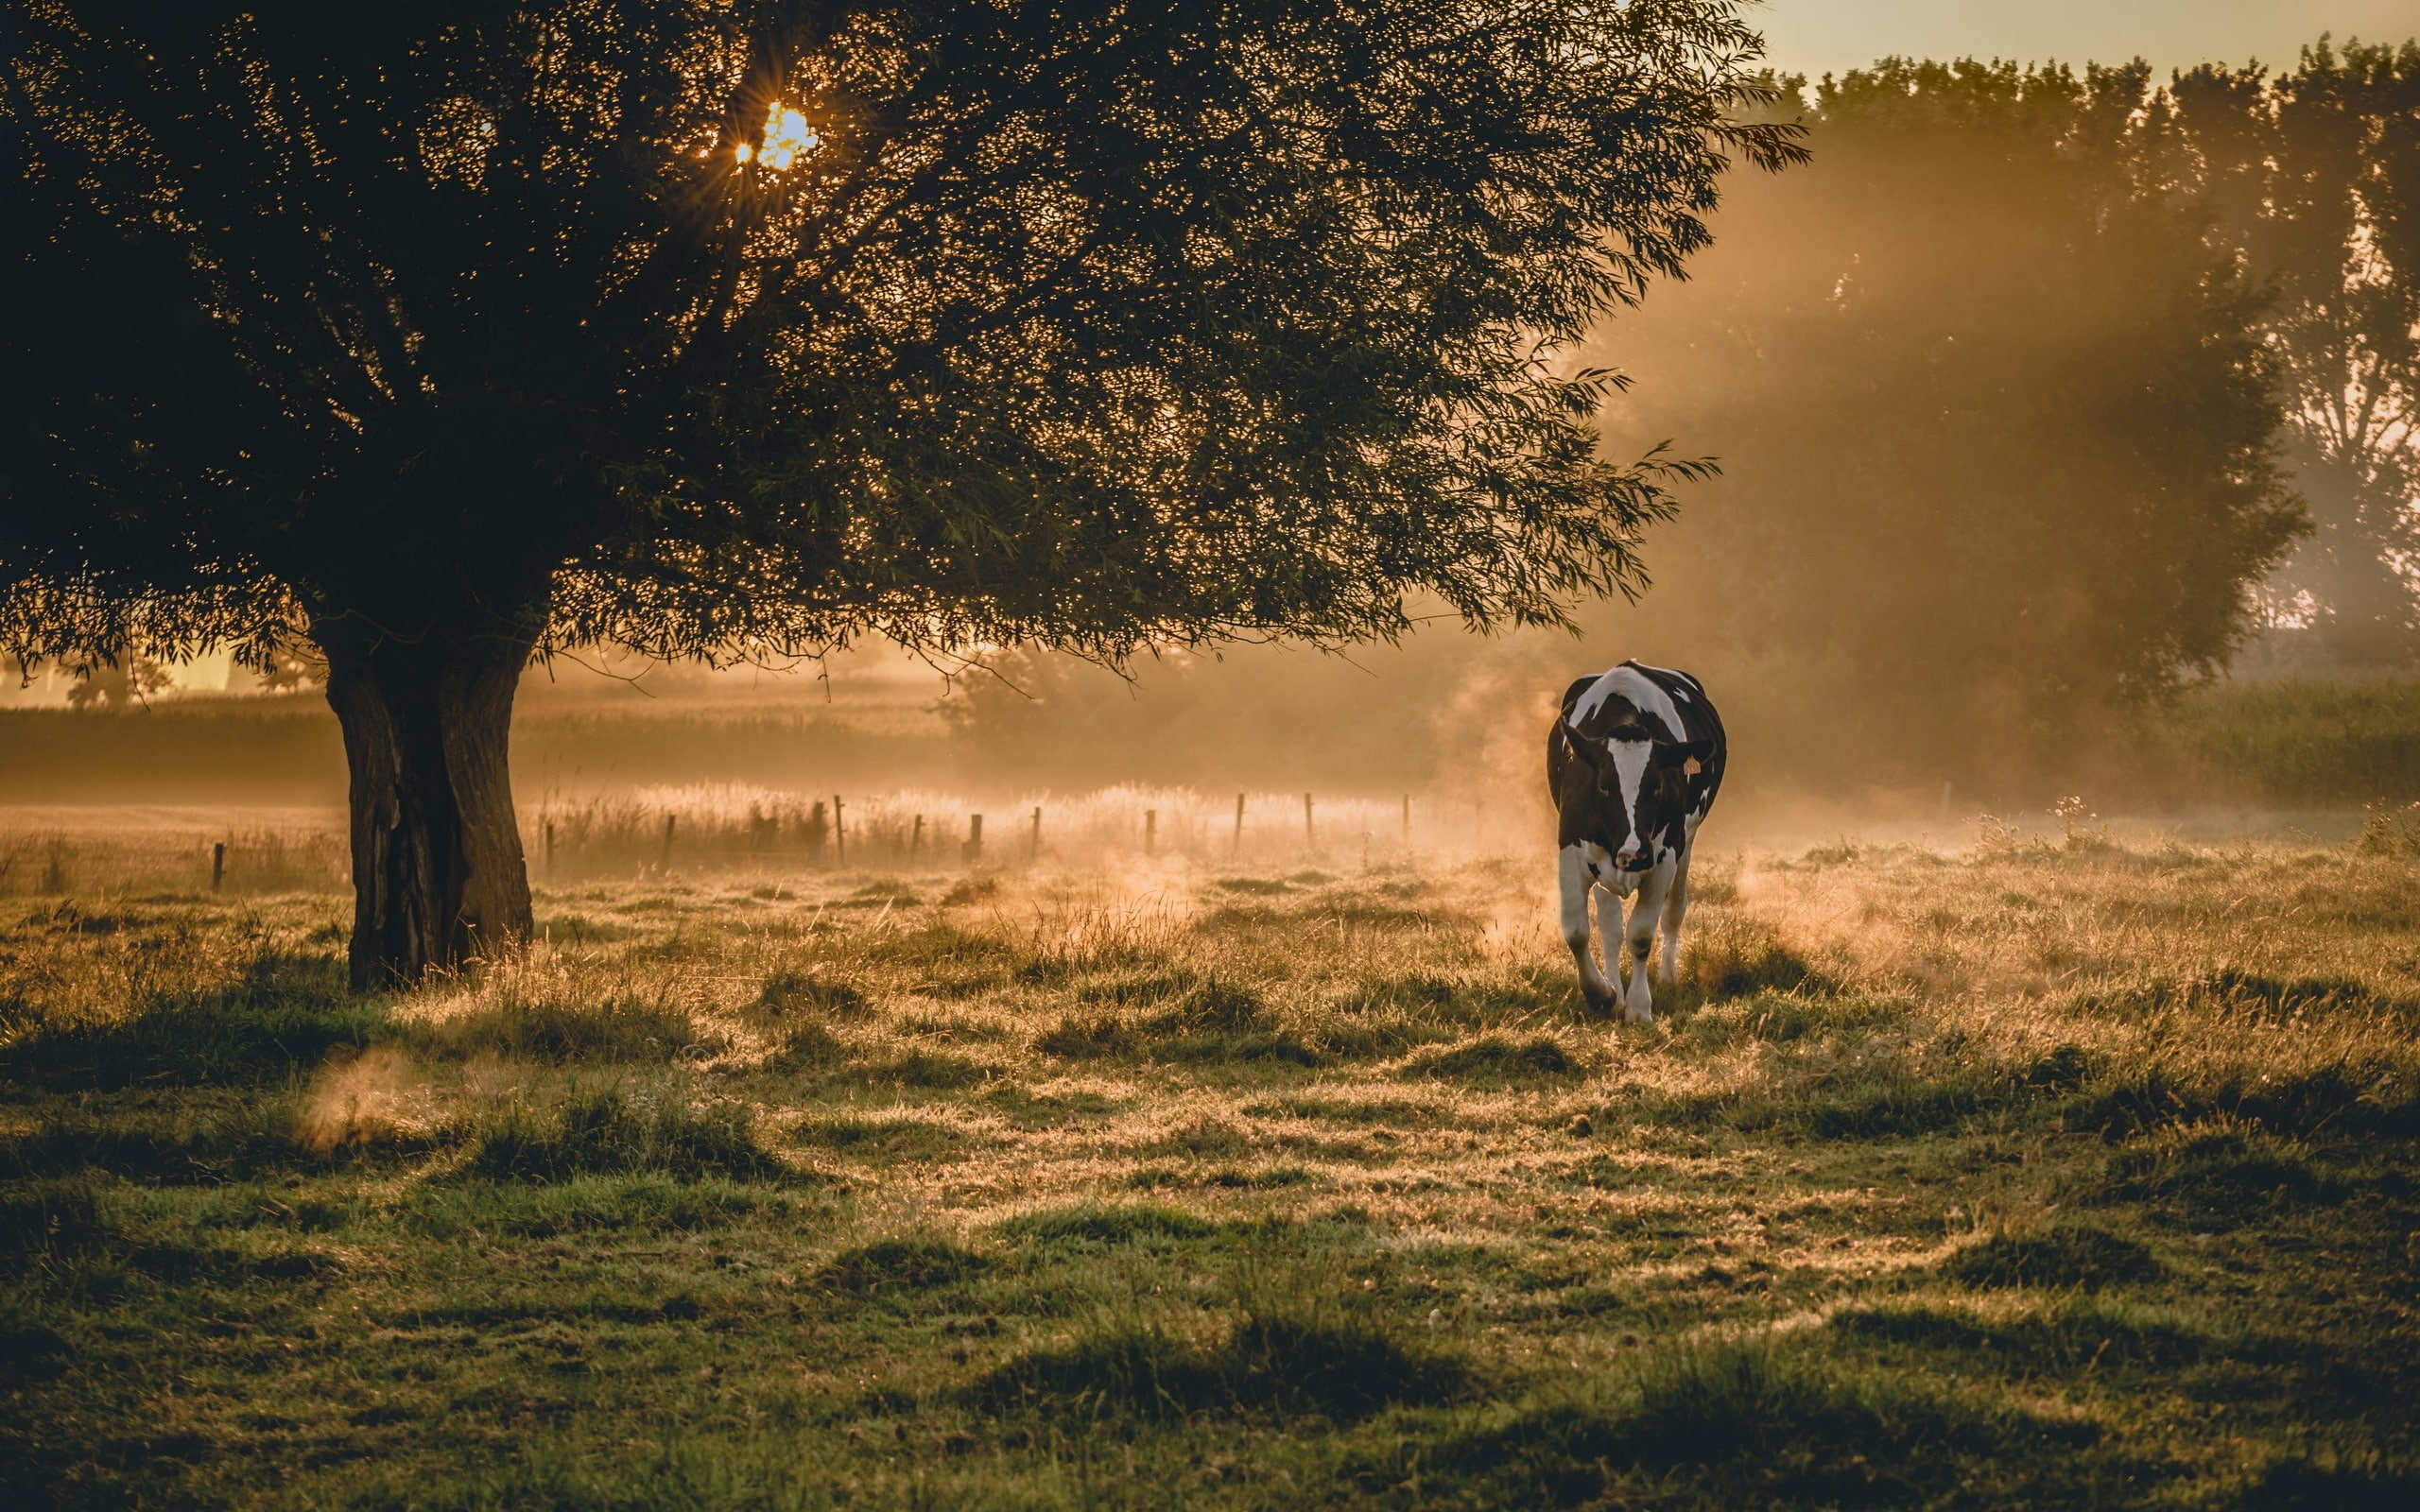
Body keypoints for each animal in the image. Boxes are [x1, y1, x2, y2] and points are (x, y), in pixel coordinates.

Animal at [1546, 661, 1726, 1022]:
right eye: (1603, 786)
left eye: (1656, 786)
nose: (1633, 854)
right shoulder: (1570, 850)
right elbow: (1577, 931)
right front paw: (1601, 993)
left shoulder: (1665, 857)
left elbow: (1641, 935)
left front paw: (1639, 1007)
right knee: (1610, 927)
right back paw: (1615, 989)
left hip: (1688, 840)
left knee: (1675, 908)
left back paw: (1667, 976)